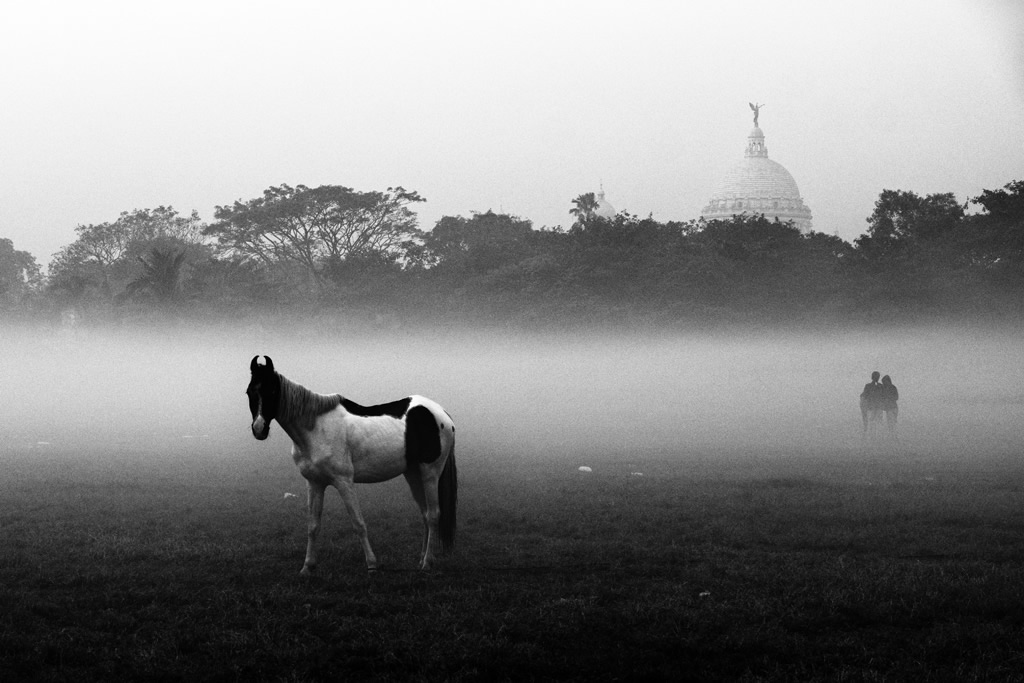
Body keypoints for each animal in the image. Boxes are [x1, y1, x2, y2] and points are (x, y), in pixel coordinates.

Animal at [243, 356, 456, 573]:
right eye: (250, 391)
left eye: (272, 390)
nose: (259, 429)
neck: (315, 429)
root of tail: (442, 414)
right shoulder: (314, 483)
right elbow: (313, 526)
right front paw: (308, 567)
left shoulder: (344, 481)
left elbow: (358, 523)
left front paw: (372, 565)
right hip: (413, 473)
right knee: (425, 514)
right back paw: (422, 560)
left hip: (430, 473)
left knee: (433, 514)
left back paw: (428, 563)